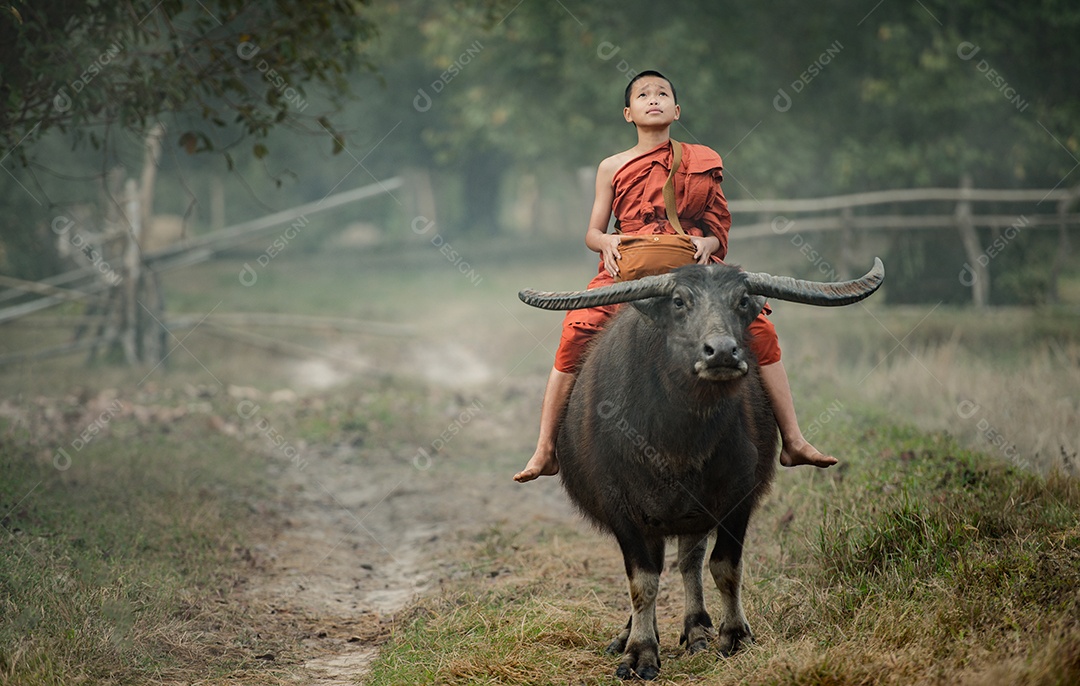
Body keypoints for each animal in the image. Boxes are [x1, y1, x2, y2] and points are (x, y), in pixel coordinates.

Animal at [520, 259, 885, 682]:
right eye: (679, 301)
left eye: (742, 301)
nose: (722, 352)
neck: (679, 441)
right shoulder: (620, 508)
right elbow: (642, 582)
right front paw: (639, 653)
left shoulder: (738, 497)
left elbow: (724, 567)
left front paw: (735, 636)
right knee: (658, 568)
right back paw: (632, 634)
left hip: (692, 514)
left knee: (689, 561)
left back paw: (697, 630)